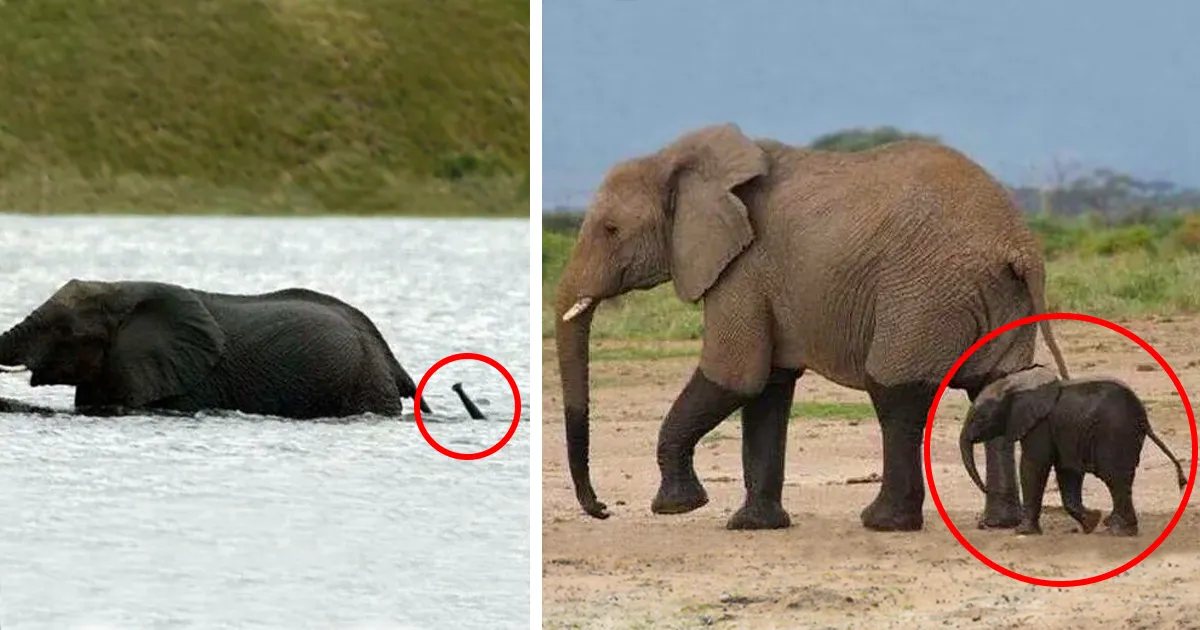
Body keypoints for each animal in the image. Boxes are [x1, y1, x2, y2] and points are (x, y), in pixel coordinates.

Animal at [553, 122, 1071, 532]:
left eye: (611, 230)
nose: (601, 509)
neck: (681, 162)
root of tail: (1017, 244)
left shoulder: (743, 269)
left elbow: (735, 376)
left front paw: (678, 507)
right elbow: (767, 389)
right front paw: (753, 526)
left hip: (924, 293)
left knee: (895, 392)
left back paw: (883, 523)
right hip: (997, 296)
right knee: (995, 387)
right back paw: (996, 524)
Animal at [960, 366, 1188, 536]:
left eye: (980, 418)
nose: (986, 490)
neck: (1015, 384)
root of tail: (1144, 418)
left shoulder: (1040, 425)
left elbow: (1033, 466)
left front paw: (1023, 532)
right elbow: (1067, 471)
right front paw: (1091, 522)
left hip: (1115, 433)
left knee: (1114, 477)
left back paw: (1118, 531)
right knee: (1120, 479)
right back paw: (1112, 525)